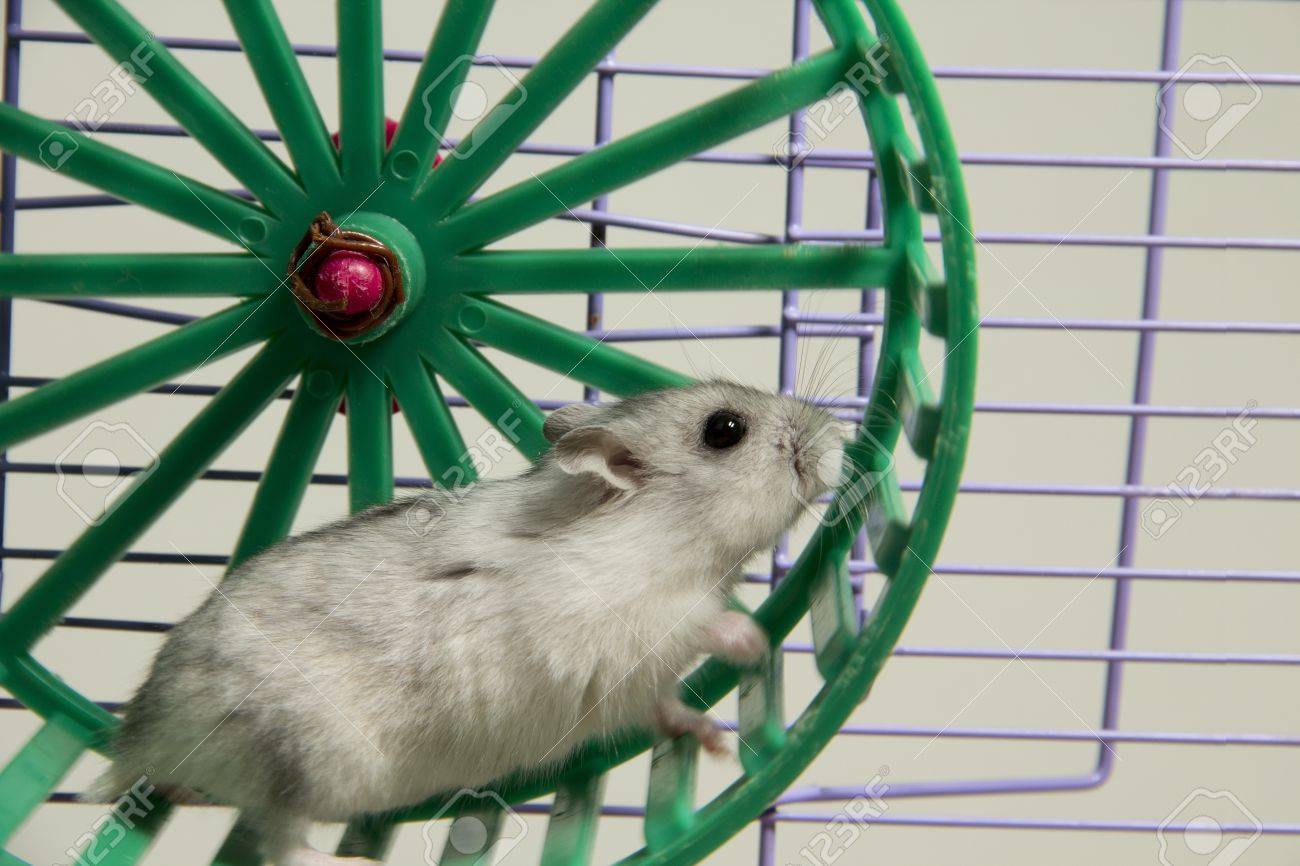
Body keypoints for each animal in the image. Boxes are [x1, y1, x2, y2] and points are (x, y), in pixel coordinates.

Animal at [89, 381, 847, 865]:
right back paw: (360, 865)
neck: (663, 539)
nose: (837, 433)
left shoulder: (627, 691)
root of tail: (139, 739)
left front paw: (715, 741)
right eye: (725, 430)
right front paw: (752, 639)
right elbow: (696, 624)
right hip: (299, 757)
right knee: (284, 848)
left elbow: (665, 709)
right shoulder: (608, 623)